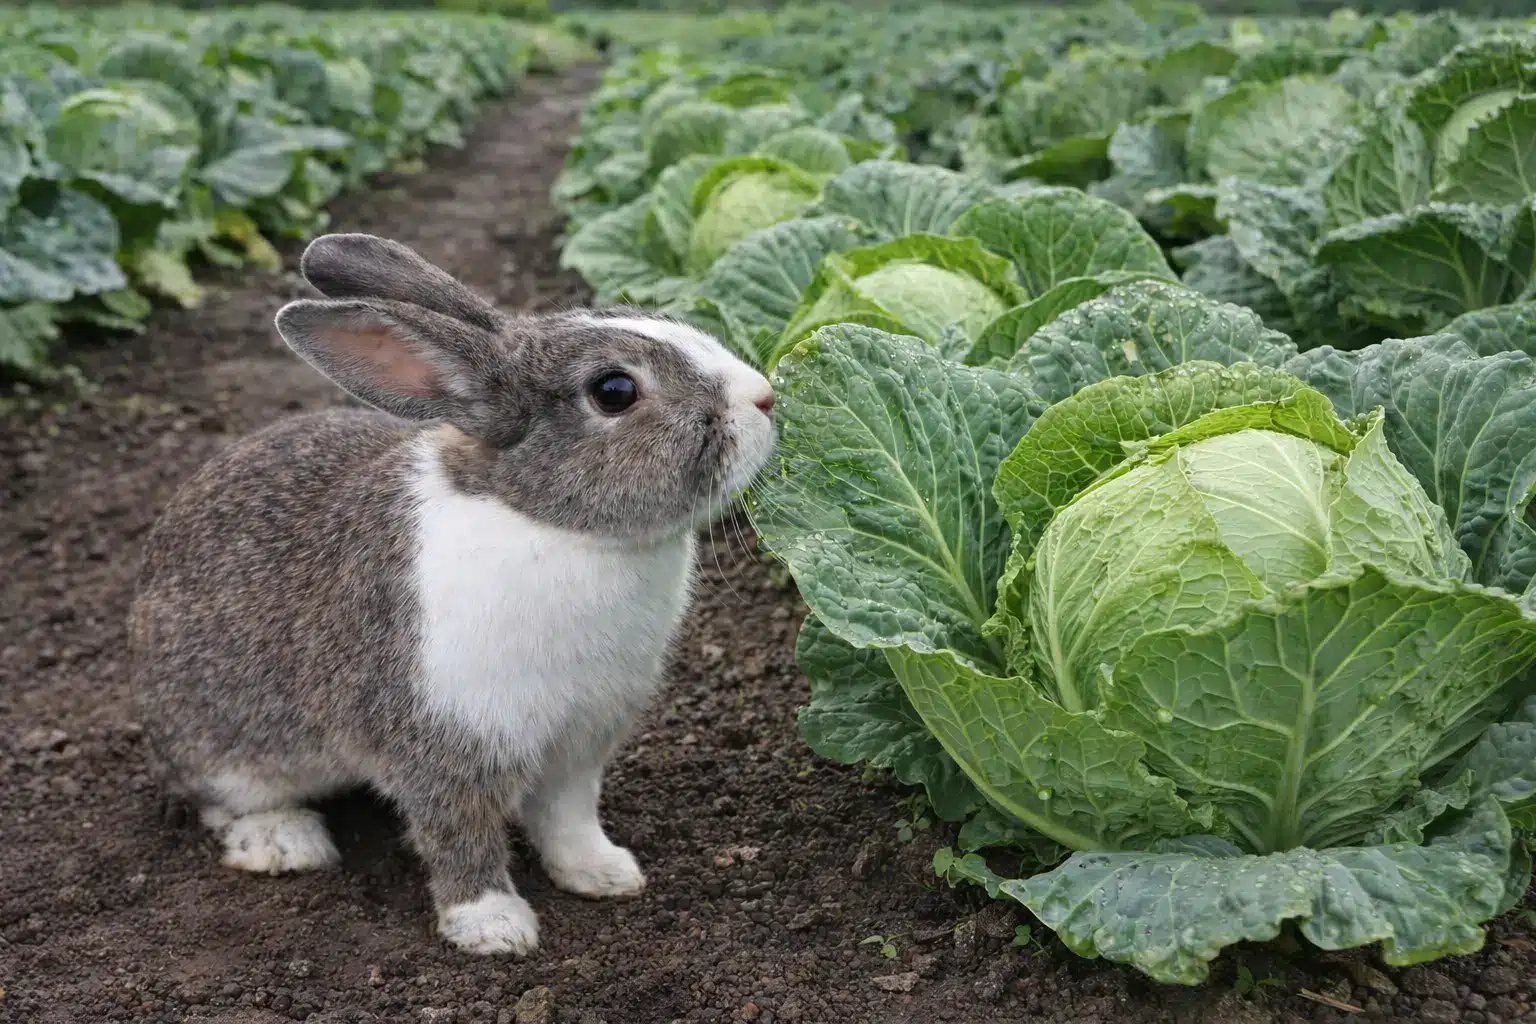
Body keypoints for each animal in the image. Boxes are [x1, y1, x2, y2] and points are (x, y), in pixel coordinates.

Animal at [127, 232, 777, 955]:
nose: (765, 398)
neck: (553, 524)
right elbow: (458, 834)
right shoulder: (445, 736)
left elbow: (568, 816)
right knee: (217, 797)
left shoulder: (580, 739)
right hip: (225, 736)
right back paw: (282, 842)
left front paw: (603, 873)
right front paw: (493, 926)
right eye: (614, 391)